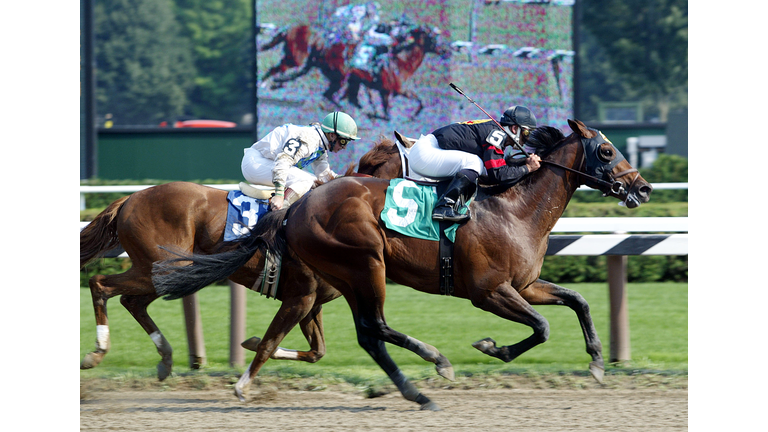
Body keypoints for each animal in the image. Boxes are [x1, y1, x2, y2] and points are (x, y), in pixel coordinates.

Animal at [78, 140, 402, 380]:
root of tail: (130, 199)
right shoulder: (302, 296)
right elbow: (280, 344)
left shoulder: (312, 300)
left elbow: (316, 351)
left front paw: (253, 343)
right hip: (162, 267)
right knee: (100, 284)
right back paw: (97, 352)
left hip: (165, 272)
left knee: (132, 302)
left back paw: (166, 358)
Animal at [152, 120, 656, 410]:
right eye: (606, 151)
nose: (643, 187)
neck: (514, 209)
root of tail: (295, 208)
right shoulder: (489, 291)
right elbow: (542, 327)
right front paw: (492, 347)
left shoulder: (525, 284)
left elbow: (578, 301)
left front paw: (597, 363)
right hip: (365, 264)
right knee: (373, 328)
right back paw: (427, 379)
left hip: (345, 275)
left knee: (368, 333)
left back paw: (423, 375)